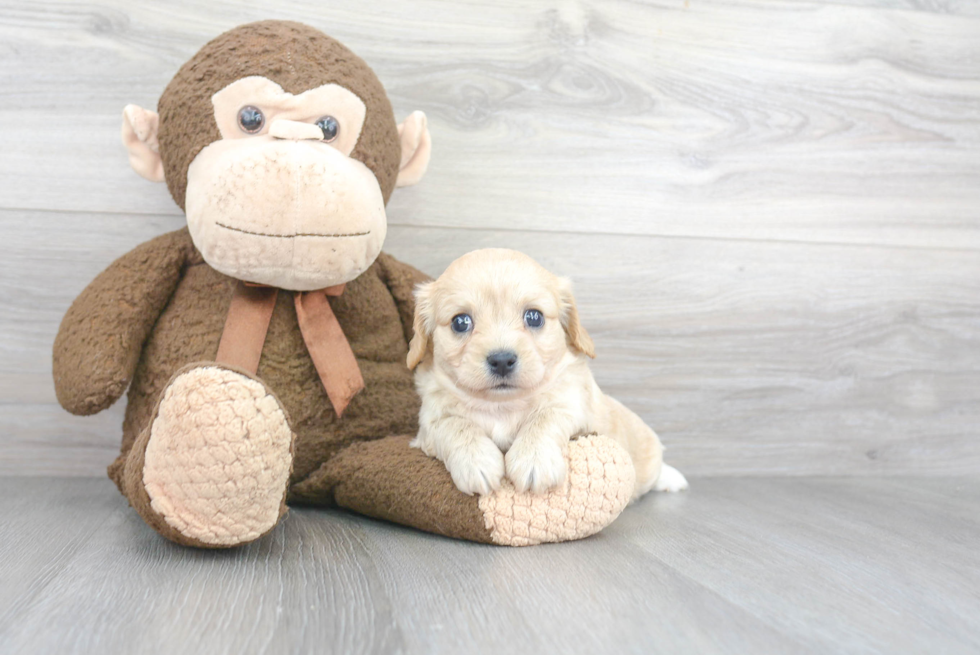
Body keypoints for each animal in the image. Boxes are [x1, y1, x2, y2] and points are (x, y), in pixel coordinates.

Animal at [406, 249, 688, 500]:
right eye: (460, 322)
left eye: (534, 317)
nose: (501, 360)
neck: (502, 406)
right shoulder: (430, 423)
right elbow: (455, 424)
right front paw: (476, 461)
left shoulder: (571, 405)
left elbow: (544, 418)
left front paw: (533, 460)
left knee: (656, 468)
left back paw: (672, 479)